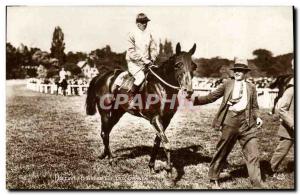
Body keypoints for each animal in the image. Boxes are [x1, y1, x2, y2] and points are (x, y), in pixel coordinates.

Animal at [85, 43, 197, 175]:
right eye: (178, 65)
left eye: (194, 66)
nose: (188, 91)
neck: (161, 87)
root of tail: (102, 76)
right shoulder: (155, 118)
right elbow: (166, 143)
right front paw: (169, 169)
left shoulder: (166, 120)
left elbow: (157, 142)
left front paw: (151, 166)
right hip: (105, 112)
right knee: (105, 133)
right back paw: (111, 159)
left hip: (117, 113)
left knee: (105, 132)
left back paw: (104, 154)